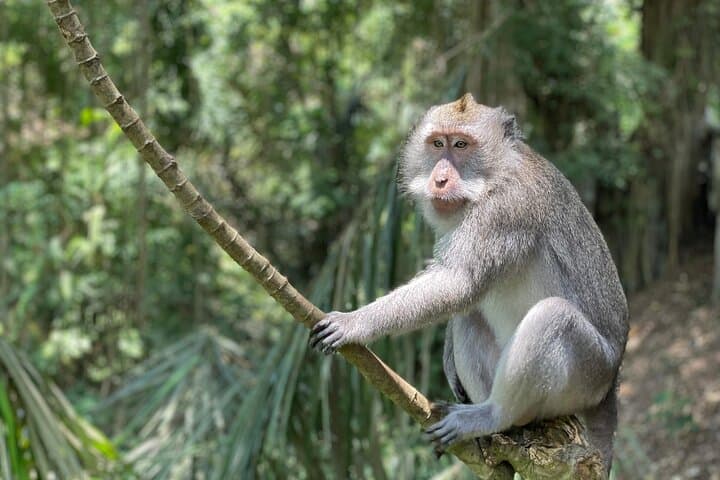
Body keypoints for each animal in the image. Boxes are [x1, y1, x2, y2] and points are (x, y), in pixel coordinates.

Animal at [309, 93, 629, 471]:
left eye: (461, 145)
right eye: (437, 144)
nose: (440, 180)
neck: (495, 175)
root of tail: (612, 384)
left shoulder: (505, 210)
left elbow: (458, 283)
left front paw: (355, 322)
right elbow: (458, 292)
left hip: (588, 375)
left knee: (554, 317)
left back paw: (494, 415)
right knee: (470, 317)